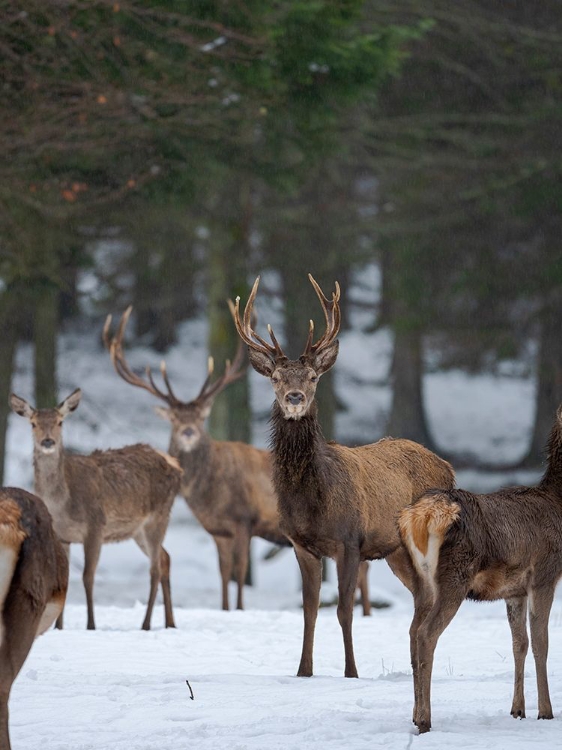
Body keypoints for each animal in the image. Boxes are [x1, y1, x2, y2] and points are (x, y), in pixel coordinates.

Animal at [9, 390, 180, 632]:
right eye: (33, 423)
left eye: (60, 422)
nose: (48, 441)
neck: (62, 506)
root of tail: (176, 465)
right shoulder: (62, 536)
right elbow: (63, 578)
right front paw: (58, 627)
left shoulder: (95, 525)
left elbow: (87, 576)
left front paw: (91, 624)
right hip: (137, 530)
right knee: (166, 558)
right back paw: (170, 622)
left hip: (158, 516)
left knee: (154, 569)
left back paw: (146, 624)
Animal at [103, 308, 290, 612]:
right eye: (175, 419)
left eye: (201, 417)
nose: (188, 431)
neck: (211, 495)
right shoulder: (217, 530)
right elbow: (223, 571)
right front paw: (225, 608)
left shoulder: (244, 520)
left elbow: (240, 570)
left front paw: (240, 608)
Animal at [232, 276, 456, 680]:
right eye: (275, 378)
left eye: (312, 377)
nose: (294, 397)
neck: (312, 500)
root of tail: (448, 466)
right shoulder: (302, 545)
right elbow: (309, 611)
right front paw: (303, 671)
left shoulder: (350, 541)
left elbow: (344, 610)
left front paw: (351, 672)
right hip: (398, 551)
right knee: (421, 598)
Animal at [396, 406, 562, 736]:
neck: (558, 503)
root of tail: (420, 516)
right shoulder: (545, 574)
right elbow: (542, 642)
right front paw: (546, 712)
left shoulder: (515, 590)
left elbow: (519, 643)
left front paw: (518, 710)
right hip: (454, 577)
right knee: (425, 634)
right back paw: (425, 720)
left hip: (421, 582)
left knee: (411, 632)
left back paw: (414, 715)